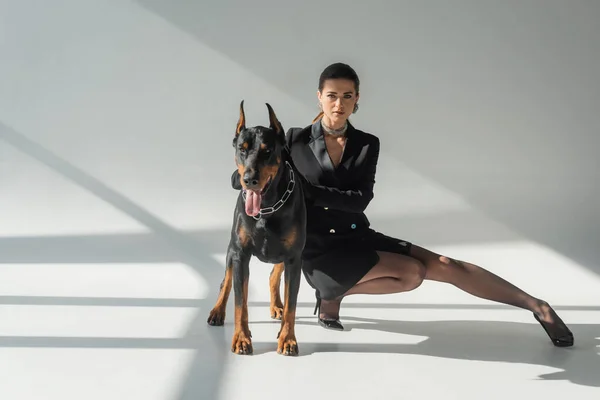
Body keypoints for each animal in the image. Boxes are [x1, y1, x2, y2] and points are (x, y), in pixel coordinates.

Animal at [209, 101, 308, 356]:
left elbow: (292, 304)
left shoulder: (294, 257)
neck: (267, 208)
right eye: (242, 149)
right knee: (226, 281)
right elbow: (240, 301)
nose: (249, 179)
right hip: (231, 250)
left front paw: (288, 339)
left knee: (274, 275)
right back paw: (217, 311)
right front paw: (241, 338)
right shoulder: (240, 254)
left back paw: (277, 307)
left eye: (267, 151)